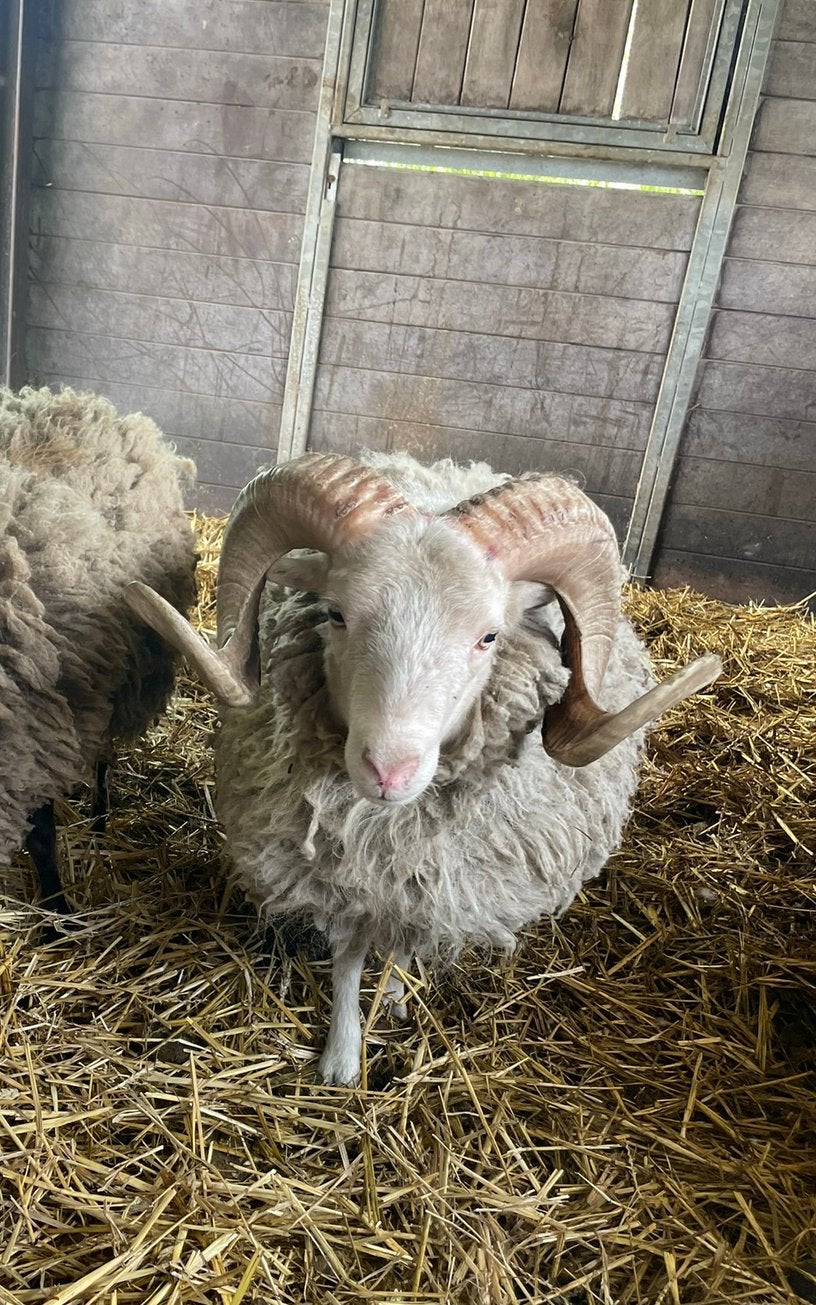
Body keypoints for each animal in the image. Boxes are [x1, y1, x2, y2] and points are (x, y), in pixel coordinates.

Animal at [0, 384, 197, 916]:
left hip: (118, 676)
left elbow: (42, 838)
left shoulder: (40, 725)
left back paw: (100, 821)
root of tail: (73, 399)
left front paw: (57, 914)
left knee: (104, 756)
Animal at [127, 451, 720, 1084]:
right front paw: (342, 1058)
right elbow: (349, 959)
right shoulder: (344, 876)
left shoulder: (430, 878)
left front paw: (394, 993)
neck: (389, 829)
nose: (388, 771)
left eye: (490, 636)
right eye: (335, 614)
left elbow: (406, 935)